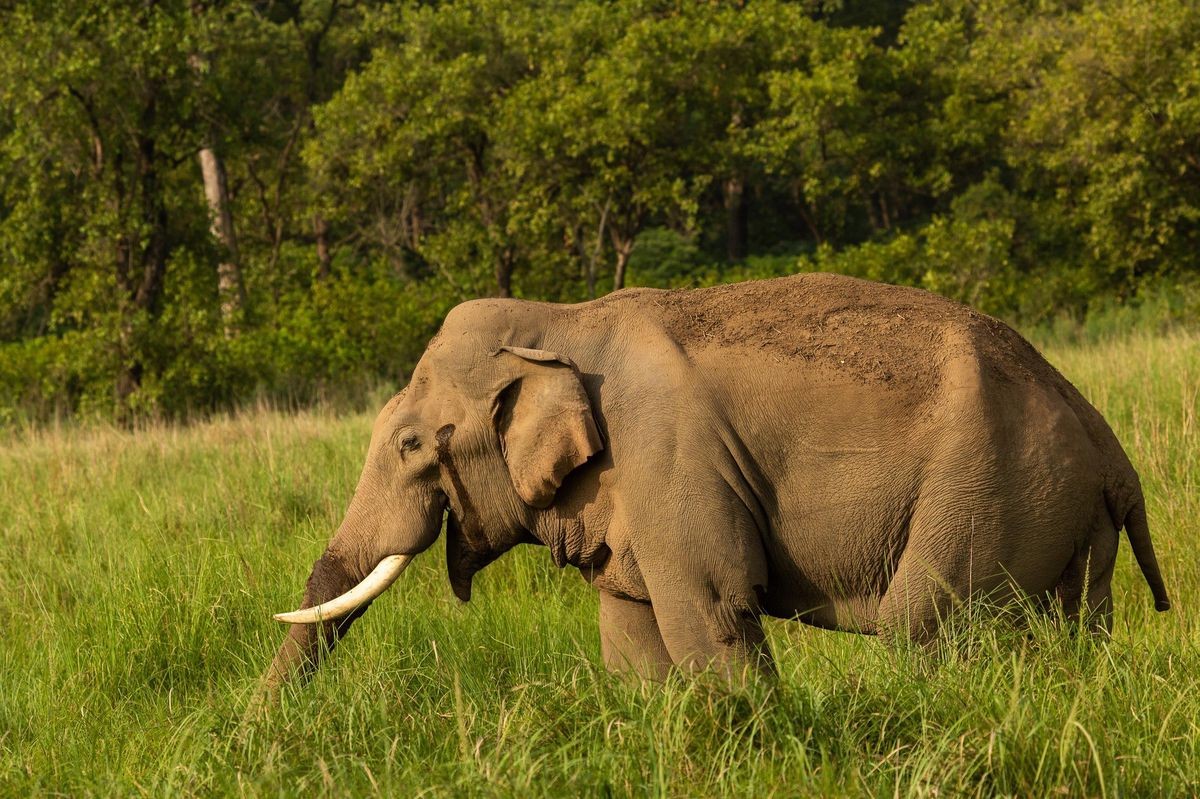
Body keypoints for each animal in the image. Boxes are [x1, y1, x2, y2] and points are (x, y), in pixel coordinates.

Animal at [262, 271, 1171, 686]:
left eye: (412, 443)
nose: (257, 730)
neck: (563, 318)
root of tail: (1108, 444)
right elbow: (631, 630)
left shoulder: (667, 453)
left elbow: (712, 608)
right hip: (1063, 514)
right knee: (1070, 631)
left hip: (989, 491)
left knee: (925, 624)